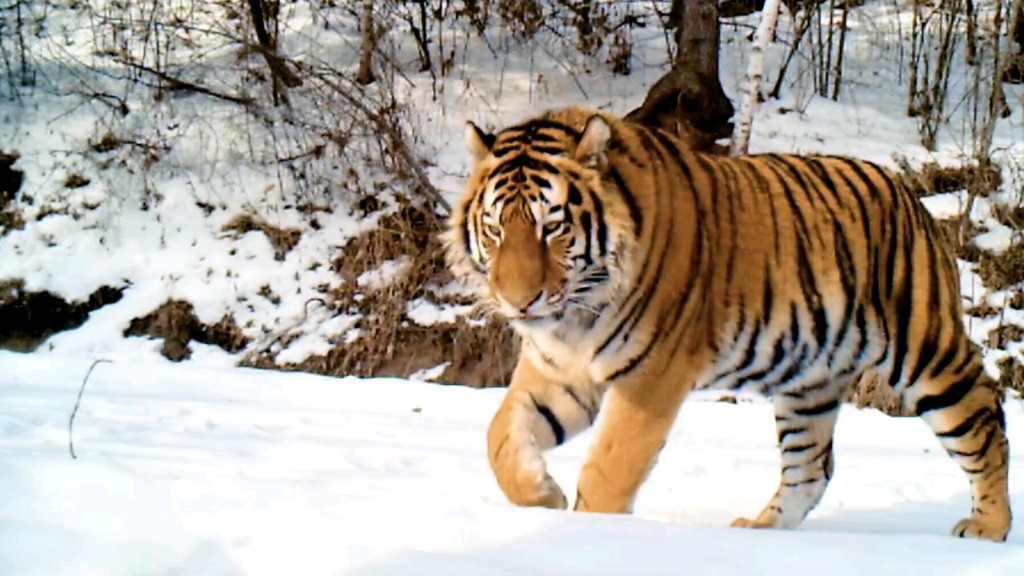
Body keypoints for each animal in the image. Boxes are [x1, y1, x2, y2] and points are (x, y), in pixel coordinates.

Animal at [444, 105, 1011, 541]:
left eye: (553, 227)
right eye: (495, 229)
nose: (519, 301)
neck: (578, 314)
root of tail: (908, 193)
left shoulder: (650, 378)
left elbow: (610, 467)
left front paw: (593, 533)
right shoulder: (559, 371)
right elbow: (500, 437)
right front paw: (544, 497)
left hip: (924, 351)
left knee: (984, 420)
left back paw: (989, 528)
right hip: (809, 381)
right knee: (813, 467)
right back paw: (759, 533)